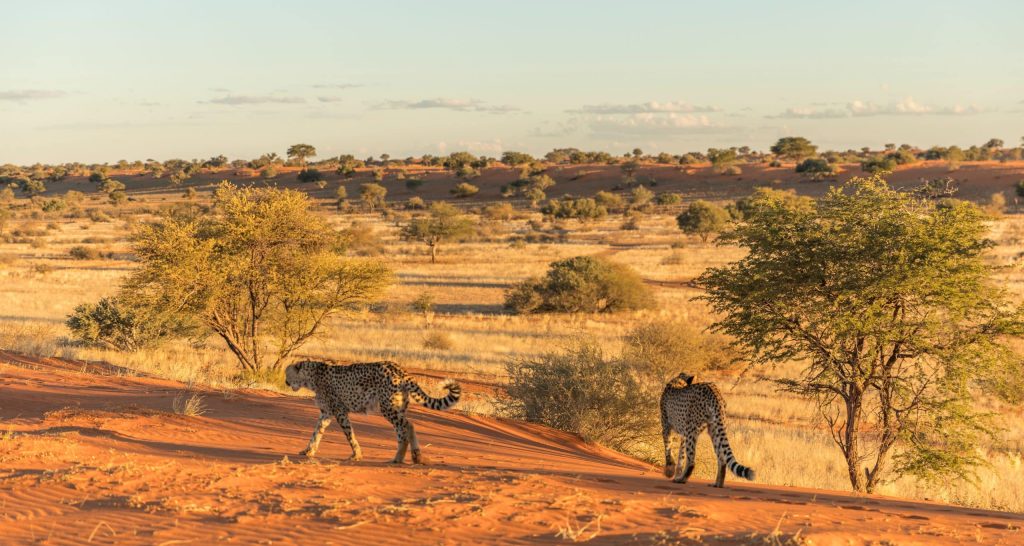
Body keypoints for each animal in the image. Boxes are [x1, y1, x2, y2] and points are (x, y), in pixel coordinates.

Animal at [284, 359, 461, 464]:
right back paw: (413, 456)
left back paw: (400, 457)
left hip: (388, 408)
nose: (285, 382)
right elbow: (316, 433)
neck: (312, 375)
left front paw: (356, 455)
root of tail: (399, 369)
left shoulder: (339, 411)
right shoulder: (326, 413)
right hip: (397, 407)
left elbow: (349, 435)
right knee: (407, 426)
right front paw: (308, 450)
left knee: (405, 427)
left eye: (287, 373)